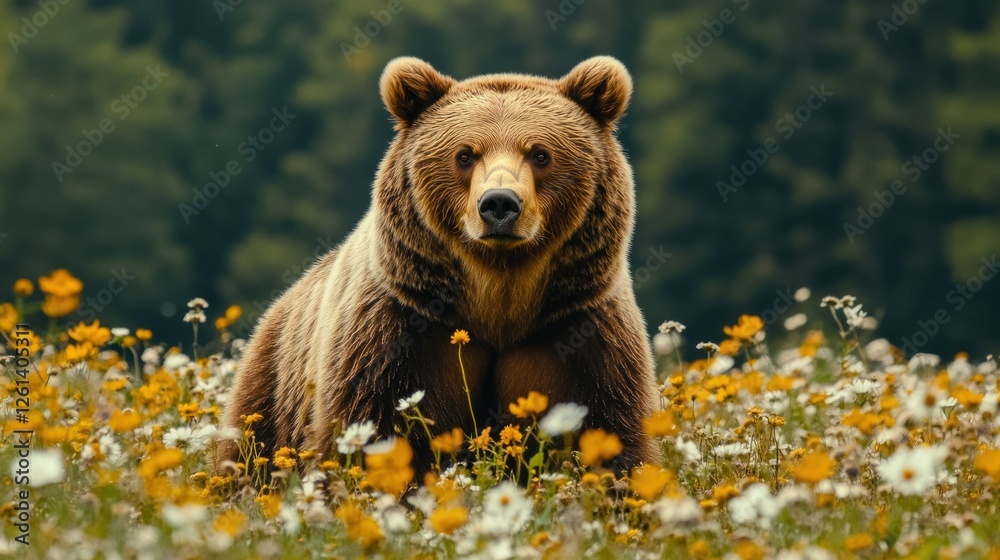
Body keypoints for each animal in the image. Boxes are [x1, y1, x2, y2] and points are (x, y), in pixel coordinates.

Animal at [218, 56, 659, 478]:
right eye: (464, 154)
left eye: (540, 154)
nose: (500, 204)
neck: (498, 297)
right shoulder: (398, 335)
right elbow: (371, 432)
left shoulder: (577, 332)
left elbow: (613, 433)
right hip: (270, 392)